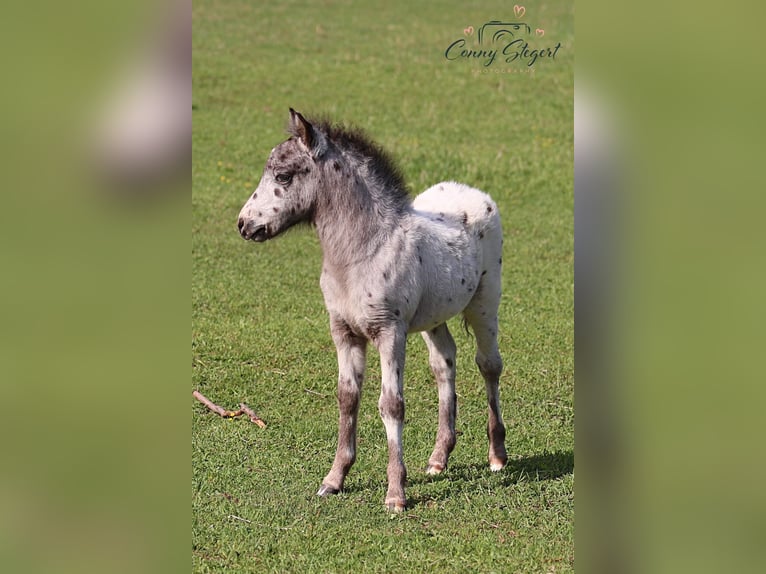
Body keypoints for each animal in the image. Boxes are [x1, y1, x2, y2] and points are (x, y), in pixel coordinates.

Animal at [237, 109, 508, 512]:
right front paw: (334, 479)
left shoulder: (389, 332)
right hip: (434, 317)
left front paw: (395, 494)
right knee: (444, 364)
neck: (362, 250)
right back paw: (438, 459)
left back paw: (497, 455)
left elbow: (391, 404)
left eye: (283, 176)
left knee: (489, 365)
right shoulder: (344, 331)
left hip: (485, 304)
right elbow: (348, 398)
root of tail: (473, 192)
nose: (244, 224)